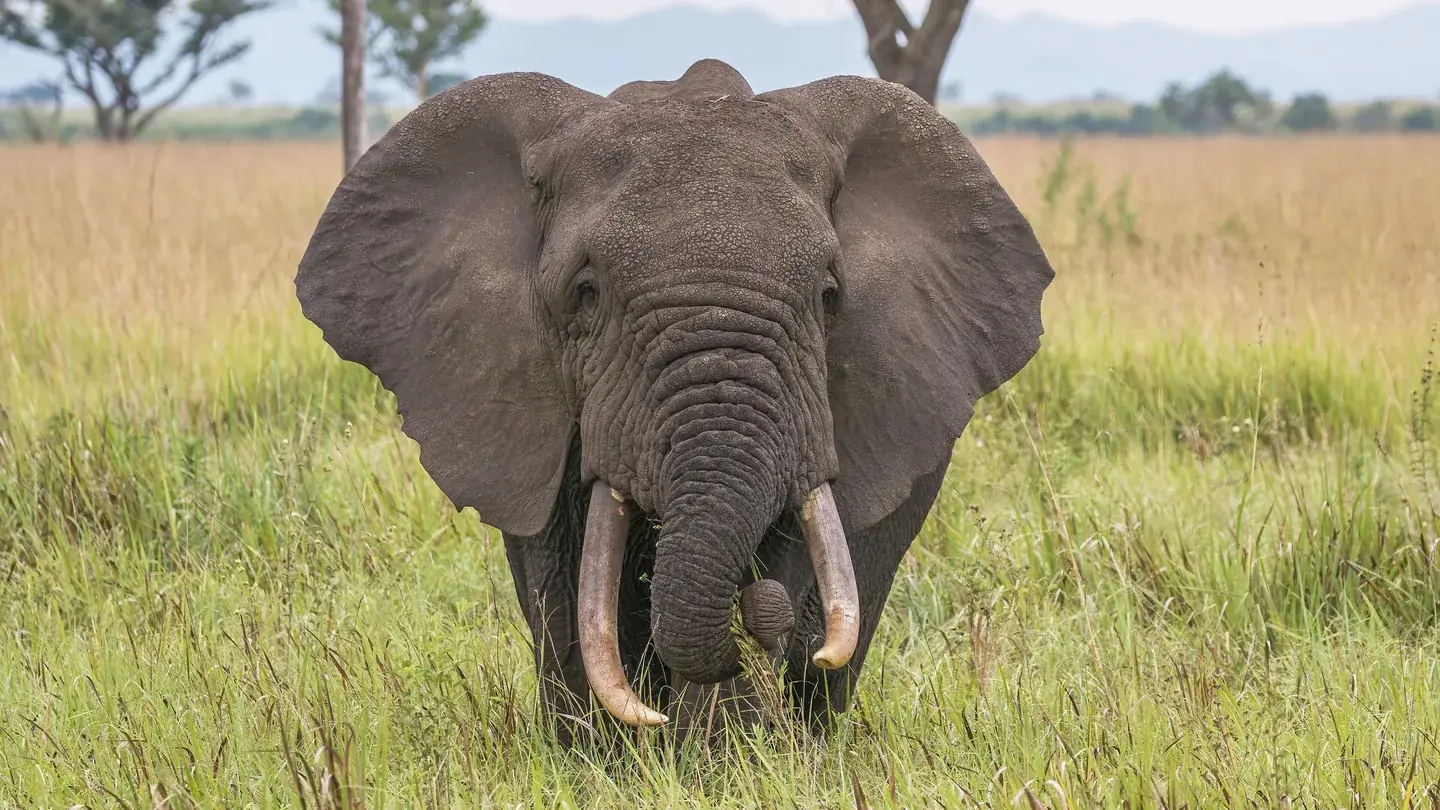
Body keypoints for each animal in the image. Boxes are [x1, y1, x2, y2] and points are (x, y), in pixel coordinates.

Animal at [294, 58, 1053, 743]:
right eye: (586, 294)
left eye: (829, 295)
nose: (756, 614)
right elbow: (560, 576)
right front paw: (602, 760)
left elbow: (792, 542)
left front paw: (720, 758)